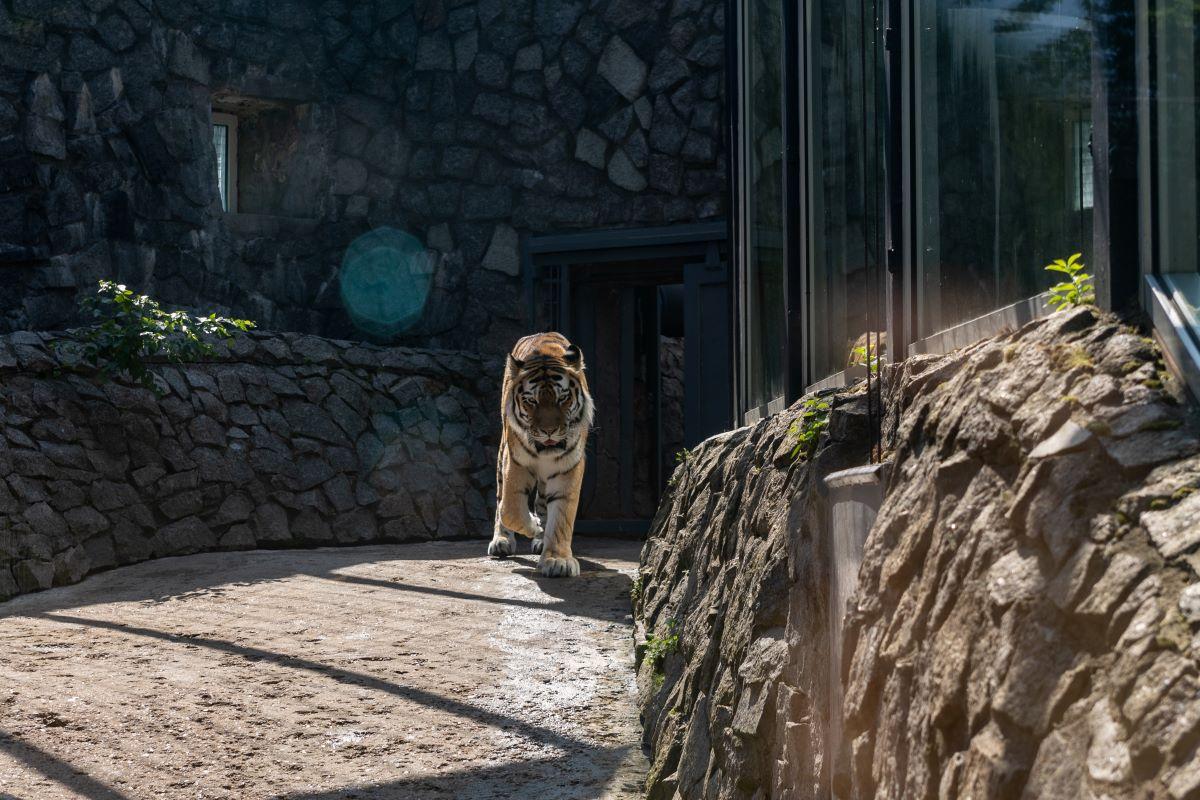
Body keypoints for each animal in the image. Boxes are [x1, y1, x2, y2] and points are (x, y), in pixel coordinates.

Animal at [487, 332, 594, 578]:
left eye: (562, 399)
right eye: (531, 401)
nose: (549, 431)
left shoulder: (568, 466)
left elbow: (562, 516)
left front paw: (557, 560)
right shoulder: (515, 462)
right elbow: (510, 509)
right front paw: (533, 525)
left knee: (542, 500)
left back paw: (541, 539)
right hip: (502, 455)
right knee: (500, 501)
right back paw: (502, 540)